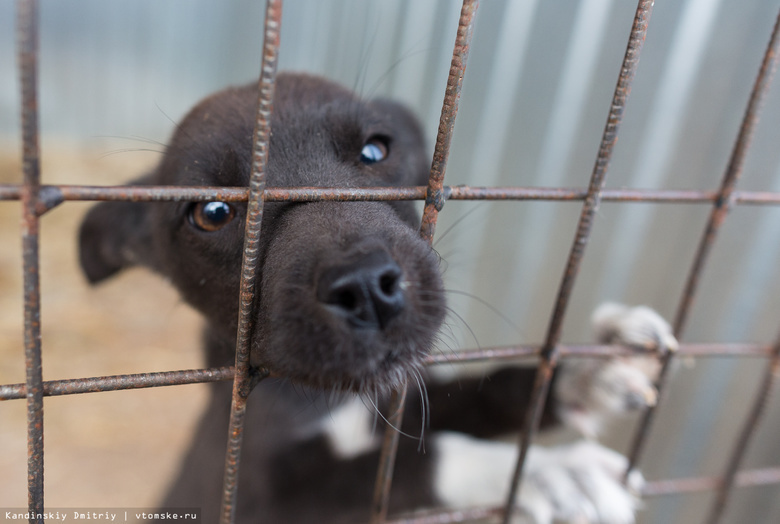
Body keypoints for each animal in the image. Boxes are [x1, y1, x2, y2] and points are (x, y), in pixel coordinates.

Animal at [80, 73, 676, 524]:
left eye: (374, 150)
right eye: (213, 212)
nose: (367, 288)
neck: (328, 400)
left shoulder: (396, 403)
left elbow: (484, 392)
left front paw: (588, 369)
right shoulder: (261, 498)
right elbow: (403, 469)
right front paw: (543, 472)